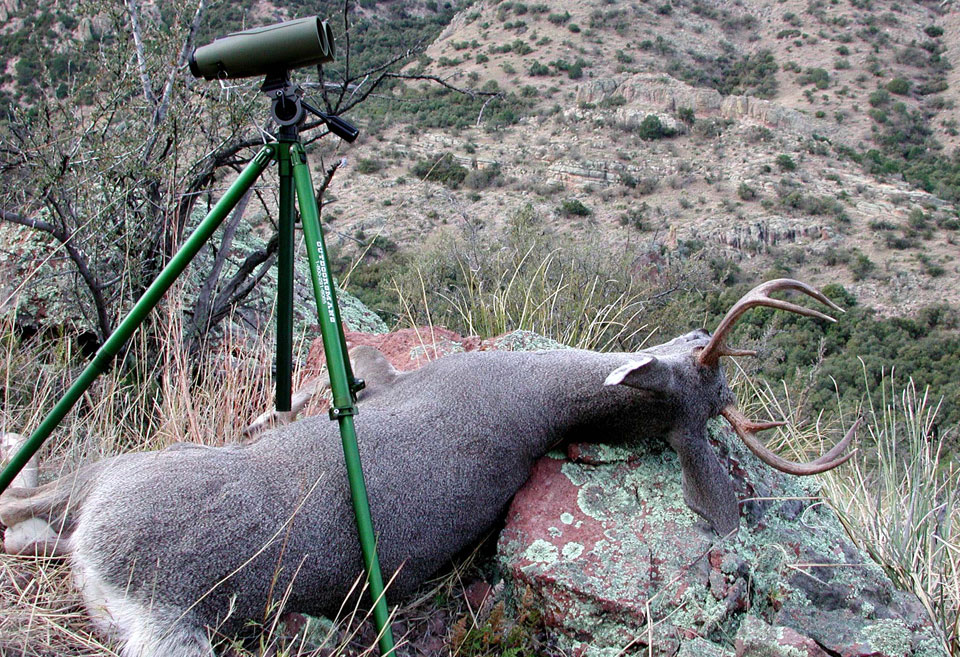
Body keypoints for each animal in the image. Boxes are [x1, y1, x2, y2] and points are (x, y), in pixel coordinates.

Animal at [0, 278, 856, 656]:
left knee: (18, 508)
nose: (698, 330)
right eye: (702, 353)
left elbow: (347, 370)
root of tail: (156, 599)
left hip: (123, 471)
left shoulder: (395, 379)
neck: (531, 397)